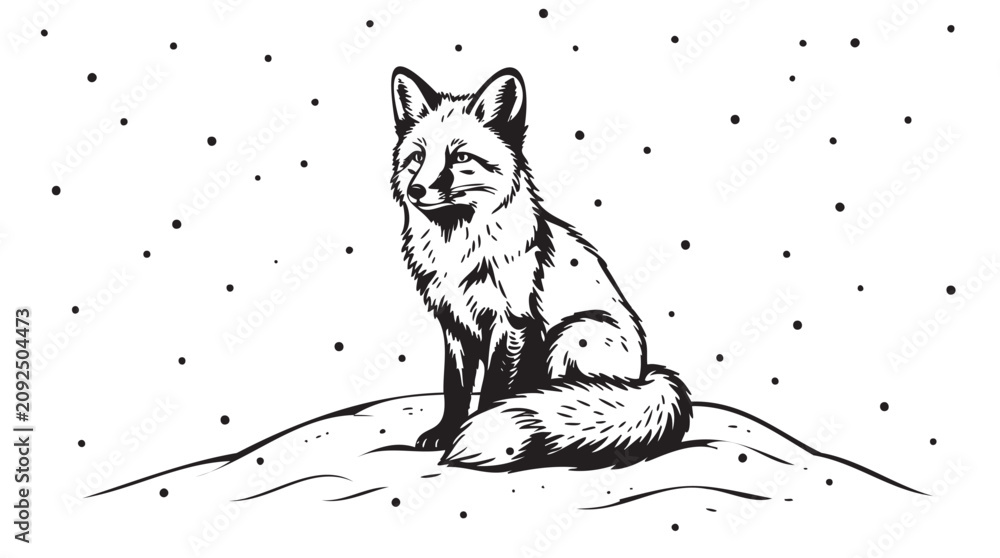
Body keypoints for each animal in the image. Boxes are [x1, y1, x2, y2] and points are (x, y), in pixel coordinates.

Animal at [389, 67, 692, 471]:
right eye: (417, 157)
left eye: (460, 157)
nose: (416, 190)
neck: (459, 249)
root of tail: (644, 374)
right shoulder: (455, 327)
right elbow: (455, 389)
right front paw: (445, 432)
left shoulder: (511, 323)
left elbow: (493, 391)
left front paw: (480, 432)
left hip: (571, 335)